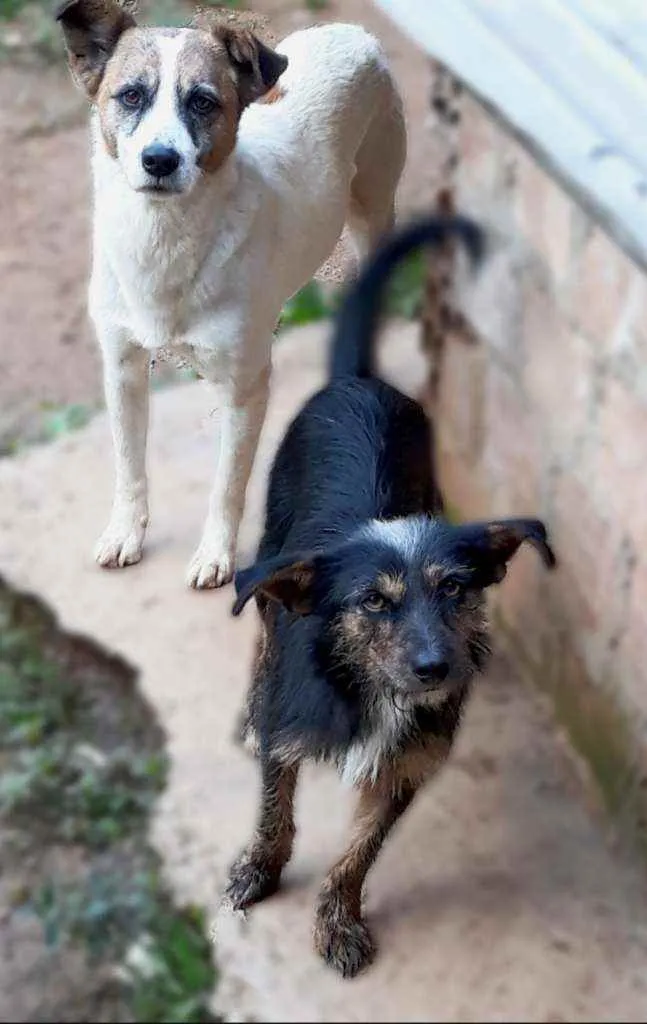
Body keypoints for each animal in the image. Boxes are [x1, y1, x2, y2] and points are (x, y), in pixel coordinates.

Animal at [58, 0, 407, 589]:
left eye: (203, 101)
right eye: (130, 95)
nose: (159, 160)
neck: (164, 242)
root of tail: (354, 33)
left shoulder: (246, 385)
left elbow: (228, 484)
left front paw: (215, 554)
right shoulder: (123, 366)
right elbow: (129, 466)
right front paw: (126, 533)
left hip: (372, 211)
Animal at [223, 214, 556, 974]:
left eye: (455, 589)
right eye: (372, 601)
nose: (436, 669)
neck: (369, 689)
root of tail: (358, 380)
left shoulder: (406, 768)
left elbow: (358, 853)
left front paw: (338, 920)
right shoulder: (291, 731)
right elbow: (274, 809)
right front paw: (260, 867)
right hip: (268, 564)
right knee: (262, 633)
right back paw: (247, 710)